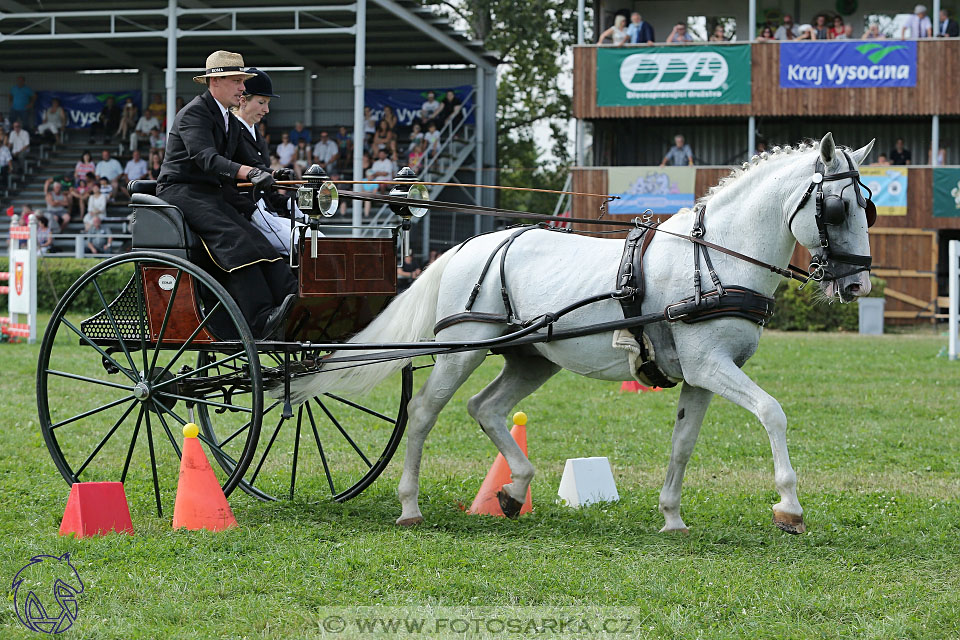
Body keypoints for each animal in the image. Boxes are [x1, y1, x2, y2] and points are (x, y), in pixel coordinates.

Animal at [292, 132, 876, 532]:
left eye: (867, 206)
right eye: (837, 207)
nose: (858, 285)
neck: (713, 258)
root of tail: (468, 245)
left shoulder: (701, 375)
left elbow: (682, 444)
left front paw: (672, 517)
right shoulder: (711, 365)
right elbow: (772, 412)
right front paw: (789, 507)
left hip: (531, 357)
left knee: (486, 408)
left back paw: (513, 491)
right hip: (462, 350)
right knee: (421, 414)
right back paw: (410, 505)